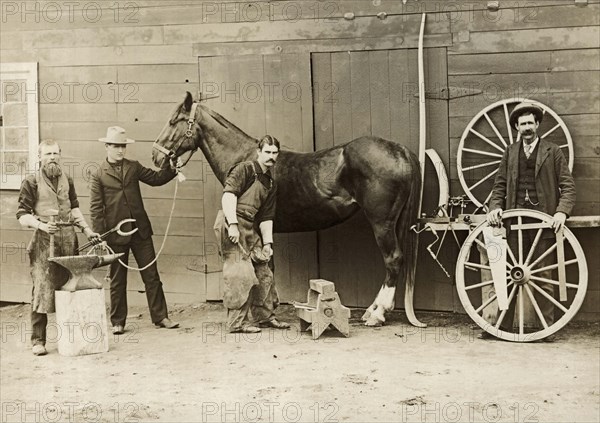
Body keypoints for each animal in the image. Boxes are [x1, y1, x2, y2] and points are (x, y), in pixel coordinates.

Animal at [155, 91, 426, 326]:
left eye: (173, 121)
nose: (156, 157)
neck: (250, 159)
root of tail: (399, 149)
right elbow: (268, 264)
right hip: (394, 222)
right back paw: (373, 310)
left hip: (382, 222)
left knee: (393, 259)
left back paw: (377, 314)